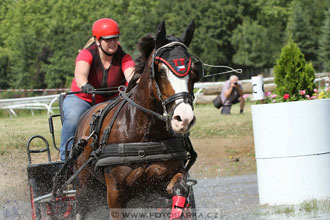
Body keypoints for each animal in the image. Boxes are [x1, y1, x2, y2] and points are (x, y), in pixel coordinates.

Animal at [68, 20, 201, 218]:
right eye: (161, 71)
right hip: (84, 185)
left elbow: (180, 192)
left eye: (193, 72)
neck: (145, 132)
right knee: (80, 208)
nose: (184, 118)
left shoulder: (164, 180)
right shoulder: (115, 192)